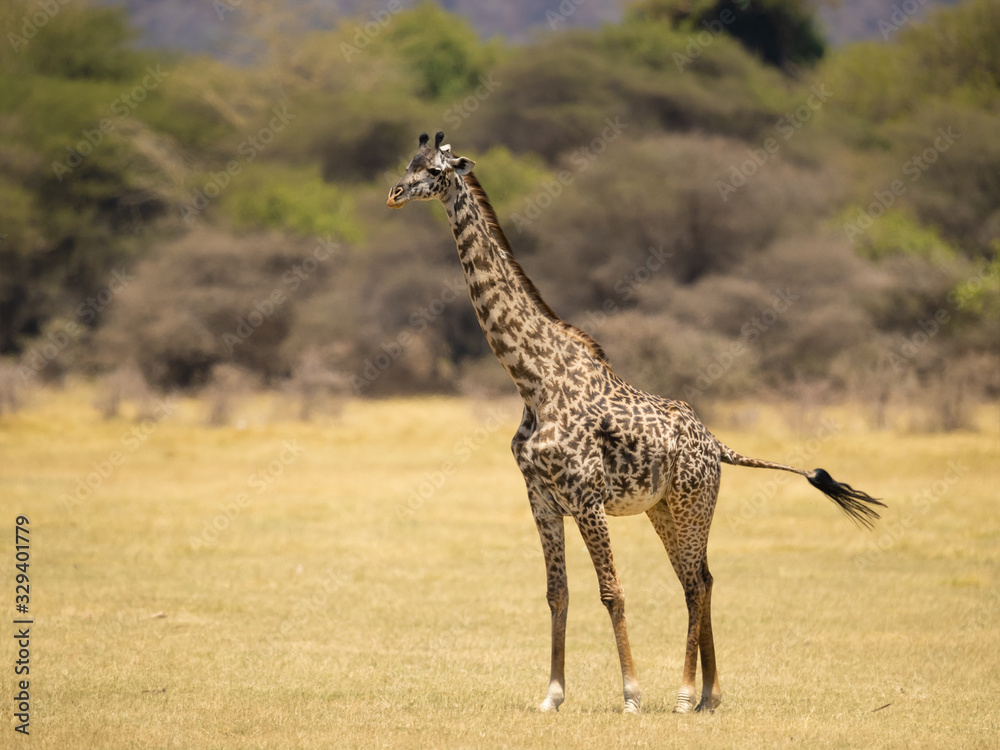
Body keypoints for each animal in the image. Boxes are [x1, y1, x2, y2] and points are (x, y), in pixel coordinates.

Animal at [387, 132, 885, 714]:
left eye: (435, 170)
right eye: (409, 162)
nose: (395, 193)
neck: (533, 378)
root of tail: (719, 446)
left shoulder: (585, 497)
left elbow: (612, 591)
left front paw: (631, 694)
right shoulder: (541, 499)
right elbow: (557, 592)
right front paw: (552, 695)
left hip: (692, 504)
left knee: (694, 584)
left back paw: (685, 694)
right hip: (663, 510)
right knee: (703, 578)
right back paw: (711, 695)